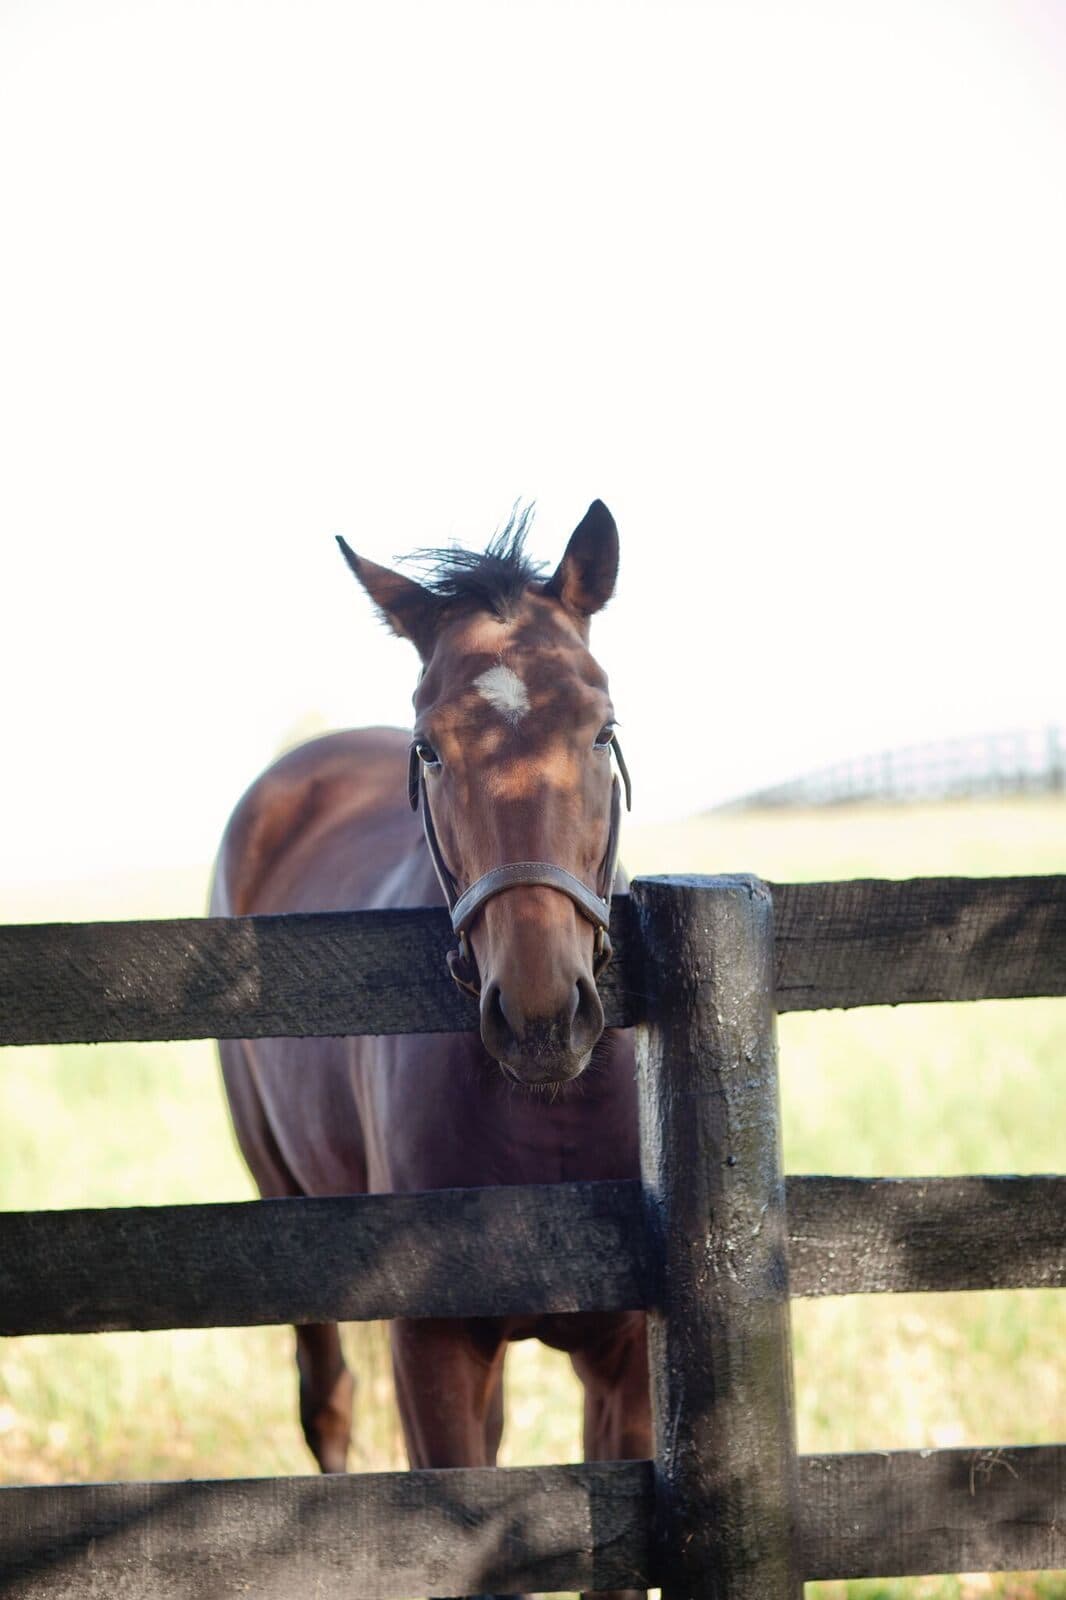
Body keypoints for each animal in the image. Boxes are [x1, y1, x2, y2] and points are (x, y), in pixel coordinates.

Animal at [210, 500, 650, 1600]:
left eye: (602, 729)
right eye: (433, 747)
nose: (539, 1014)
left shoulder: (626, 1356)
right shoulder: (435, 1348)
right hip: (280, 1203)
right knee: (327, 1405)